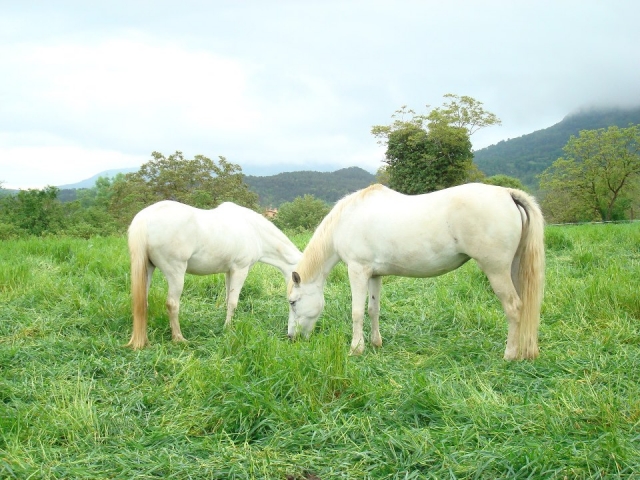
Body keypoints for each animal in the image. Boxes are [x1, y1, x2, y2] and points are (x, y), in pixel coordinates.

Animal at [126, 200, 302, 349]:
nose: (294, 337)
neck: (254, 231)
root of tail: (144, 218)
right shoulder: (240, 270)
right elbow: (233, 302)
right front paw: (228, 329)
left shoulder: (229, 272)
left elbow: (228, 300)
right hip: (176, 273)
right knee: (172, 304)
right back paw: (179, 338)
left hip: (147, 269)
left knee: (142, 303)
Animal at [287, 183, 545, 360]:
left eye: (292, 302)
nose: (291, 337)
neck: (346, 219)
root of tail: (508, 194)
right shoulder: (374, 275)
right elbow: (373, 310)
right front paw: (376, 343)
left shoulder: (357, 271)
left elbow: (357, 312)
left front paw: (356, 349)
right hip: (513, 269)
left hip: (496, 271)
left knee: (513, 307)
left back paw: (510, 354)